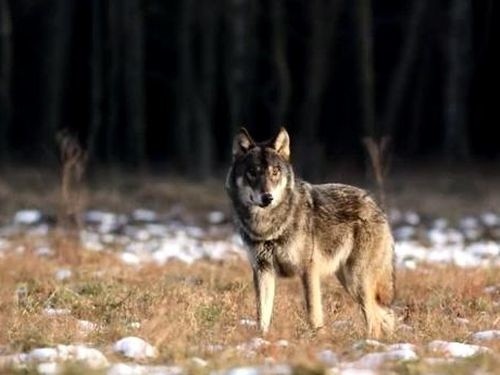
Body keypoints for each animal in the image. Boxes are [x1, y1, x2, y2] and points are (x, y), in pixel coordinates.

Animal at [226, 127, 394, 338]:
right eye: (252, 173)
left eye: (275, 172)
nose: (267, 197)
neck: (268, 227)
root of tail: (375, 204)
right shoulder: (262, 270)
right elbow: (262, 316)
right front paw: (261, 339)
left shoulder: (308, 270)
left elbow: (313, 314)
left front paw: (317, 339)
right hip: (349, 282)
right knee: (385, 316)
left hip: (357, 281)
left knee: (375, 319)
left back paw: (370, 342)